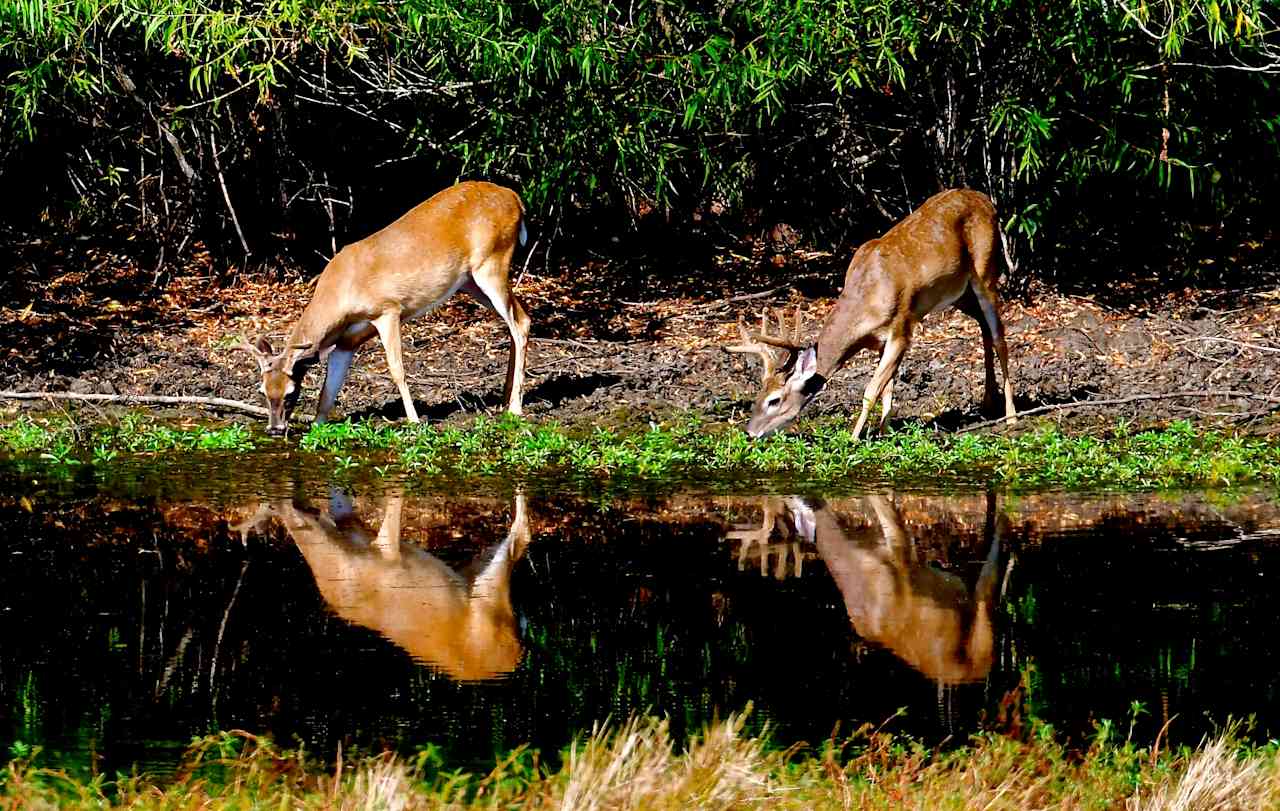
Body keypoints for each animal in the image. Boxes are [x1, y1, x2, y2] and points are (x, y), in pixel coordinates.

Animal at [235, 181, 529, 434]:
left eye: (291, 392)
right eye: (262, 391)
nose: (274, 429)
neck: (341, 294)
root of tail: (515, 198)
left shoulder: (388, 310)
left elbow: (396, 369)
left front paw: (414, 420)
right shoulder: (348, 340)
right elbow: (329, 387)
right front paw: (316, 426)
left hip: (493, 262)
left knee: (518, 324)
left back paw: (515, 407)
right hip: (470, 282)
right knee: (520, 318)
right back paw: (505, 399)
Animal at [247, 486, 532, 680]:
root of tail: (517, 652)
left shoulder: (387, 548)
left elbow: (395, 498)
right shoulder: (351, 524)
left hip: (489, 596)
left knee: (523, 534)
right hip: (474, 573)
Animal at [732, 188, 1018, 434]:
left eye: (774, 400)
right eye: (757, 395)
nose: (749, 432)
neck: (866, 302)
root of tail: (988, 201)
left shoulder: (902, 327)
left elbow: (871, 391)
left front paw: (854, 438)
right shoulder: (881, 341)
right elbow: (886, 389)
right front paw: (883, 432)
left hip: (986, 270)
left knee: (999, 337)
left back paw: (1011, 416)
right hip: (960, 293)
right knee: (984, 328)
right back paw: (988, 401)